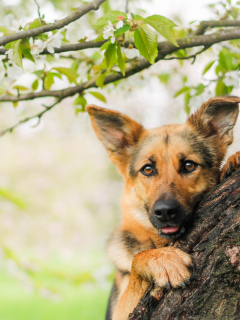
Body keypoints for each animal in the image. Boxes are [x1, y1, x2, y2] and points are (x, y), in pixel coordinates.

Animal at [86, 96, 240, 320]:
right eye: (148, 169)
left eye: (189, 165)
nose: (165, 212)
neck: (159, 242)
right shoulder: (120, 311)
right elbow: (136, 260)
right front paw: (162, 259)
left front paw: (234, 159)